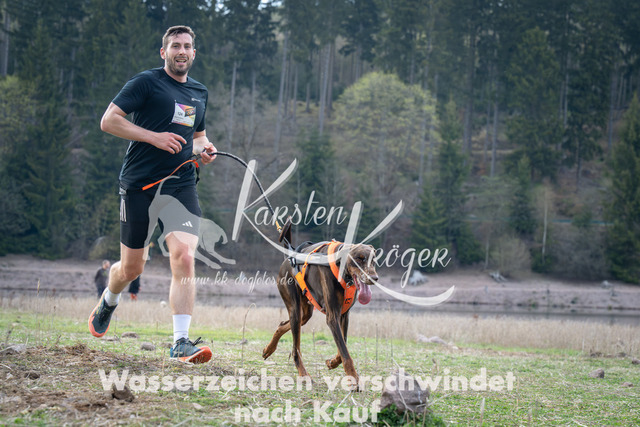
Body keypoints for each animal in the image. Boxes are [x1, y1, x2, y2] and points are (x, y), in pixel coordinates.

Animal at [262, 220, 378, 389]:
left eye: (373, 259)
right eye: (359, 258)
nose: (374, 278)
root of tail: (289, 257)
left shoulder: (344, 315)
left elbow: (342, 347)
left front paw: (332, 362)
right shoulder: (332, 316)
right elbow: (345, 353)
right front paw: (354, 379)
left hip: (305, 312)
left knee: (283, 324)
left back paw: (269, 349)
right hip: (294, 307)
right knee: (296, 349)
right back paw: (304, 375)